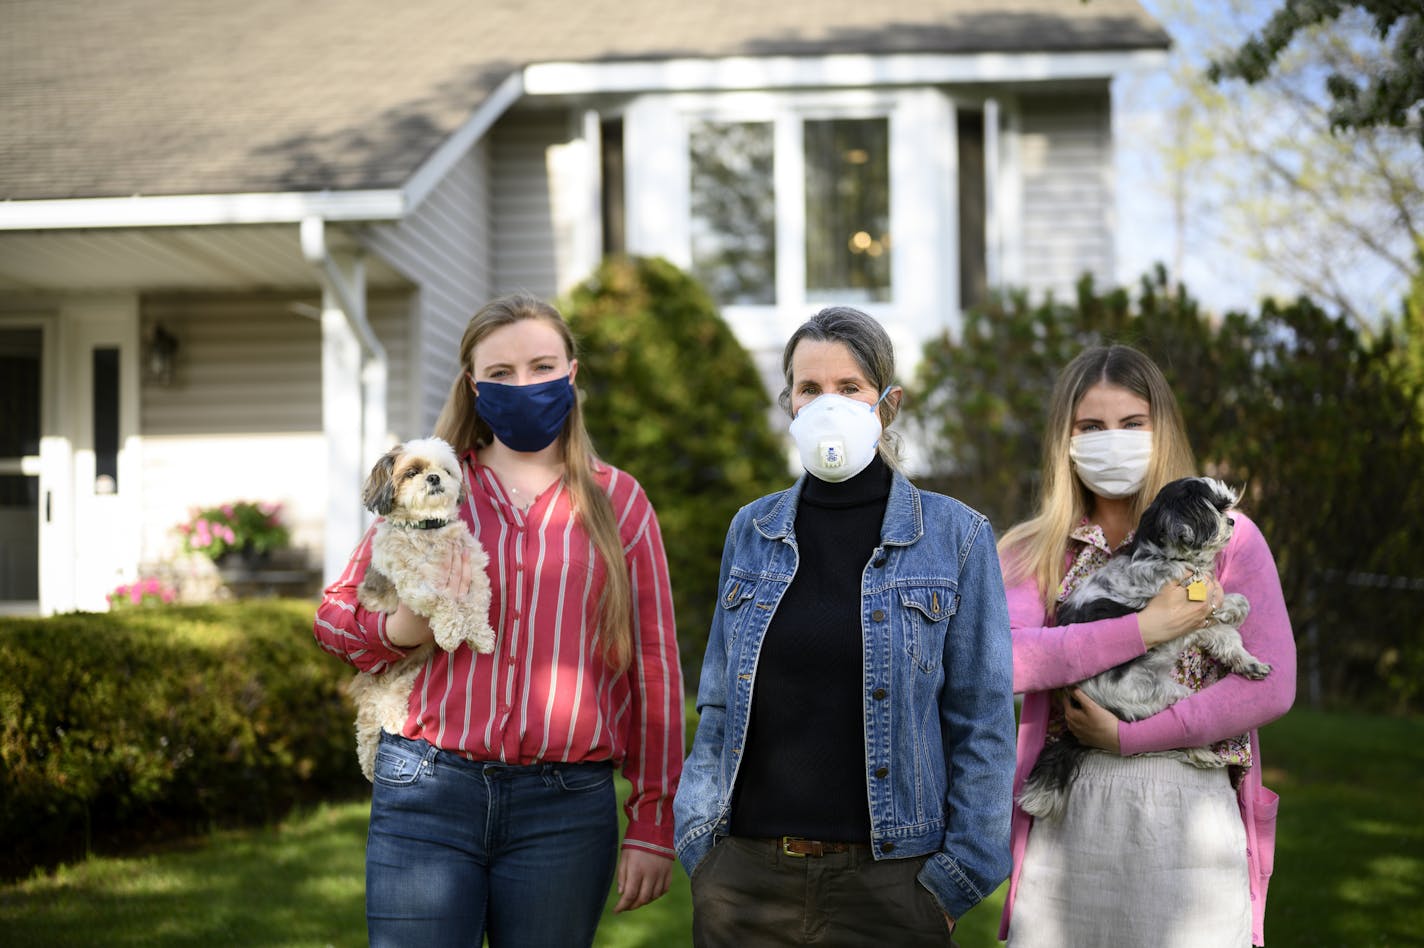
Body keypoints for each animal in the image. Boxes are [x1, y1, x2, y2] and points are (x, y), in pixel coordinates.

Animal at [344, 435, 495, 774]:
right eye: (412, 472)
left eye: (446, 470)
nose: (434, 478)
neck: (429, 530)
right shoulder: (415, 584)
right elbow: (444, 600)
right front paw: (452, 632)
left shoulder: (474, 571)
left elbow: (476, 603)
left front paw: (480, 636)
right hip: (377, 679)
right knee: (369, 715)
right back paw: (371, 755)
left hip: (406, 675)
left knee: (388, 700)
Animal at [1019, 475, 1275, 814]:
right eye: (1216, 508)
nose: (1232, 520)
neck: (1164, 557)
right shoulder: (1181, 622)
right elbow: (1220, 620)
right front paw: (1229, 608)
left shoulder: (1201, 624)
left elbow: (1229, 629)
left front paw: (1247, 656)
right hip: (1160, 694)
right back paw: (1201, 752)